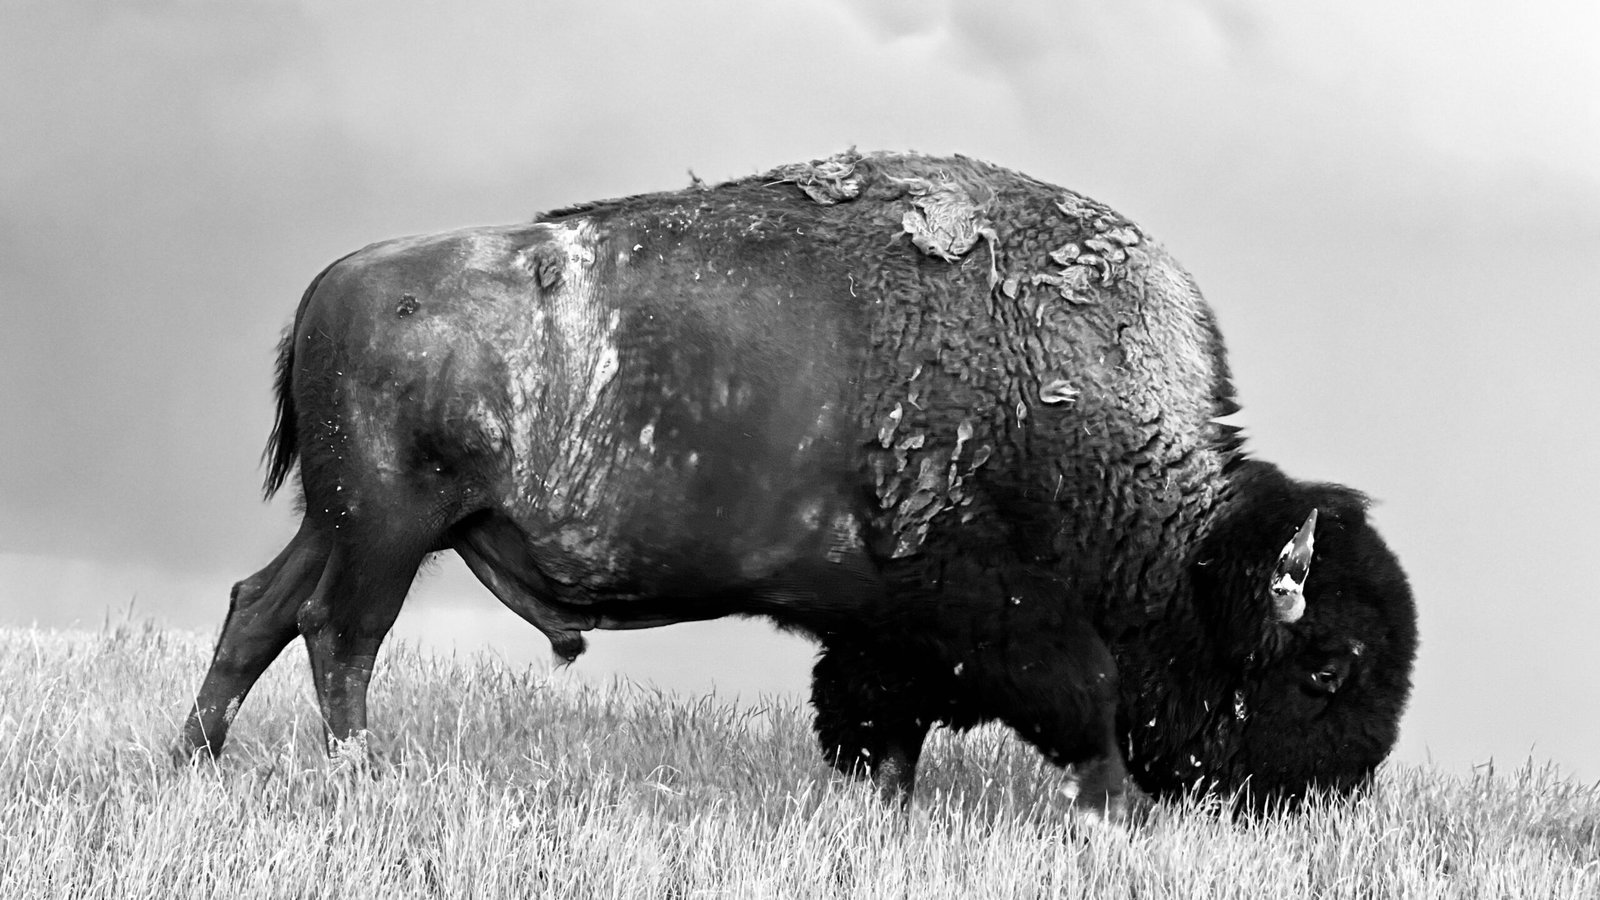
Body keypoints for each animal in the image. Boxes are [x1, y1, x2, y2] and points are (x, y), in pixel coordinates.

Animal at [177, 150, 1417, 815]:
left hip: (343, 521)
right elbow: (1087, 700)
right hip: (389, 529)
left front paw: (889, 805)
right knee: (338, 636)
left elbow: (884, 722)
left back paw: (194, 761)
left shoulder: (888, 642)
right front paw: (1110, 812)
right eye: (1326, 667)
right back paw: (359, 778)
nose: (1326, 795)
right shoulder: (1000, 622)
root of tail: (333, 283)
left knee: (258, 610)